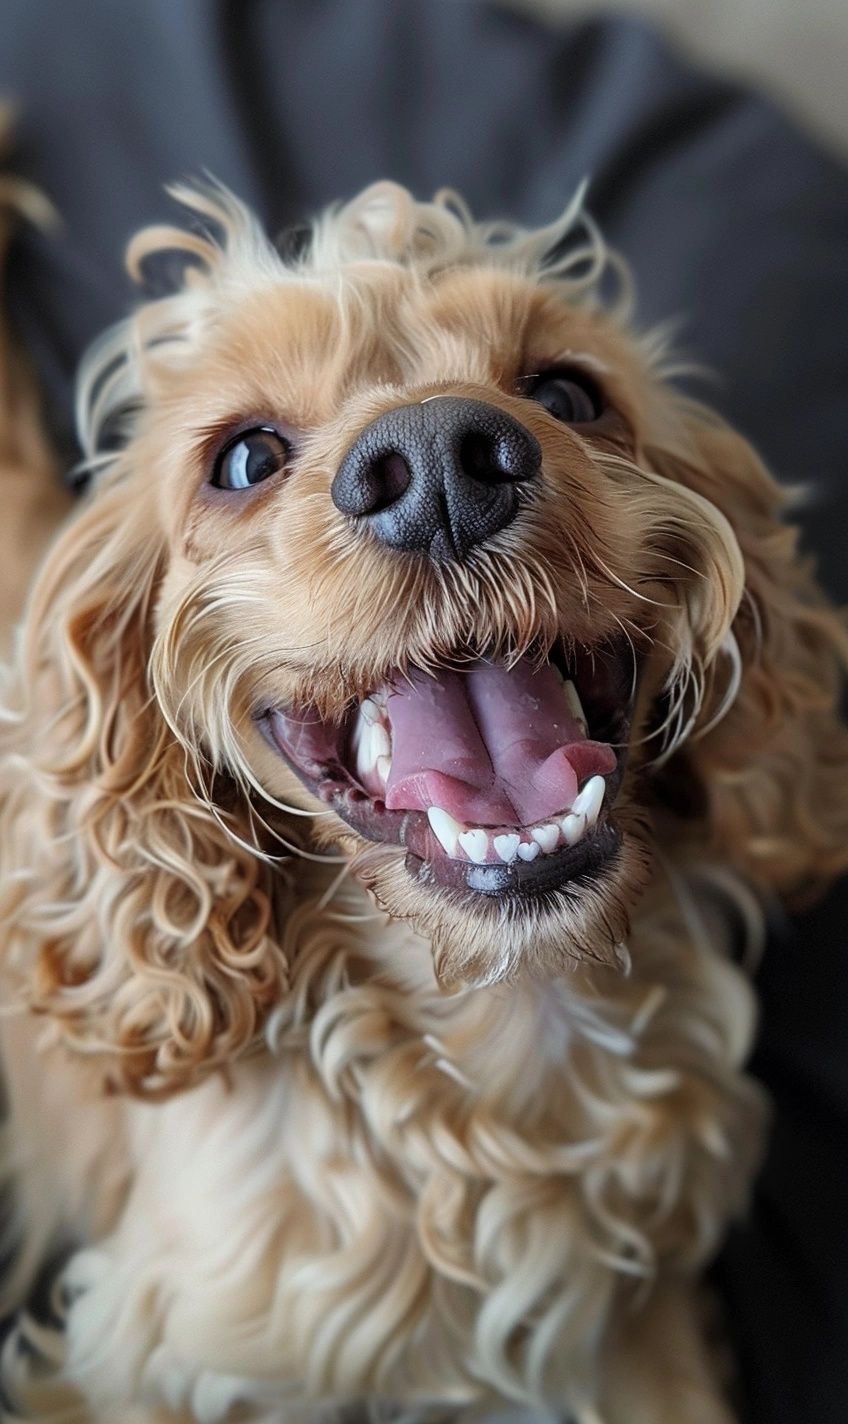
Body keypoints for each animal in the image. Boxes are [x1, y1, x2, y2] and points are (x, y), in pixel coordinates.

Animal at [0, 178, 842, 1424]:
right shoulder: (141, 1361)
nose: (441, 458)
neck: (503, 1037)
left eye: (565, 391)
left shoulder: (639, 1332)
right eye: (244, 457)